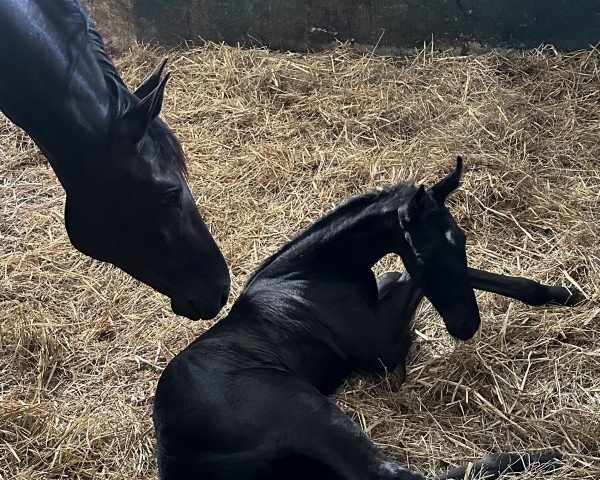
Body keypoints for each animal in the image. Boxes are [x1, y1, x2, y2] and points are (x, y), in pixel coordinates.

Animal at [155, 158, 580, 480]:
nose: (466, 326)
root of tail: (176, 457)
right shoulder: (382, 345)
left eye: (461, 240)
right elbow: (412, 282)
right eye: (424, 255)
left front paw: (563, 294)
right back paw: (540, 456)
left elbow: (437, 276)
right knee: (392, 474)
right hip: (302, 408)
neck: (309, 273)